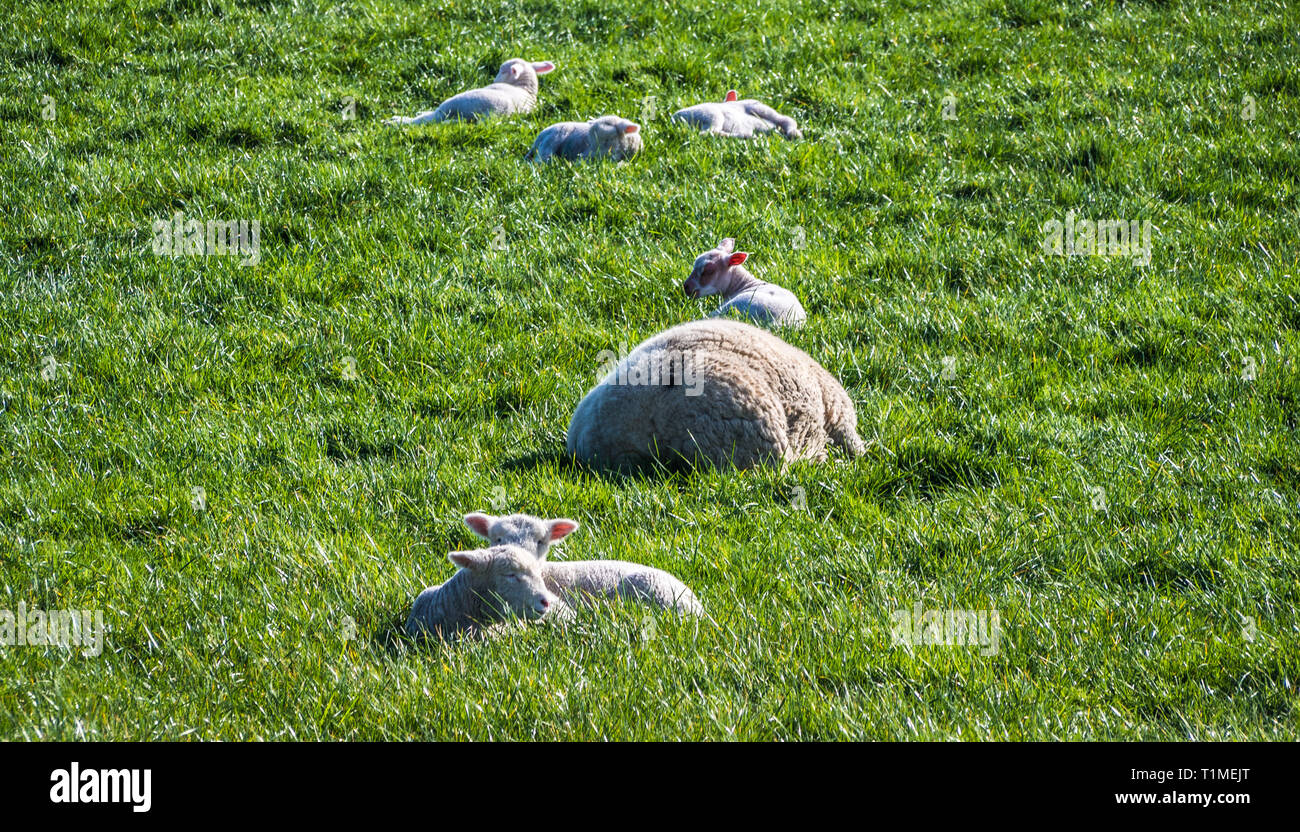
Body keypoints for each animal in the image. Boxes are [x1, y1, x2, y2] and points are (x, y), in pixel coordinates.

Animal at [379, 58, 553, 126]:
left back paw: (397, 121)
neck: (525, 89)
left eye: (502, 70)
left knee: (429, 119)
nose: (494, 81)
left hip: (453, 104)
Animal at [670, 89, 800, 139]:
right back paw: (749, 136)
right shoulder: (755, 105)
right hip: (711, 115)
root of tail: (676, 118)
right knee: (708, 132)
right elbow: (786, 119)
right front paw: (795, 134)